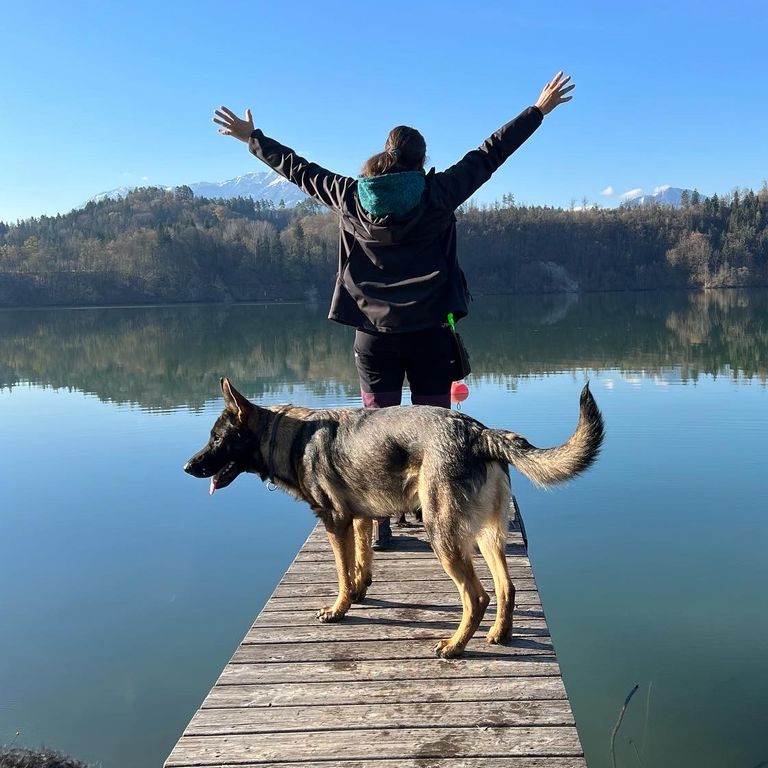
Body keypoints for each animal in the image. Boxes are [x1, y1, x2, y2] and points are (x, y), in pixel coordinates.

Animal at [186, 380, 608, 656]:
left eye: (218, 439)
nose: (187, 467)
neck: (291, 435)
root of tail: (479, 432)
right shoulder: (359, 520)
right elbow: (361, 563)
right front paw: (359, 593)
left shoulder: (335, 522)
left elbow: (342, 572)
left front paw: (339, 609)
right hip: (486, 536)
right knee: (507, 588)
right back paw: (499, 634)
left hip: (443, 536)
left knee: (477, 597)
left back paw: (454, 646)